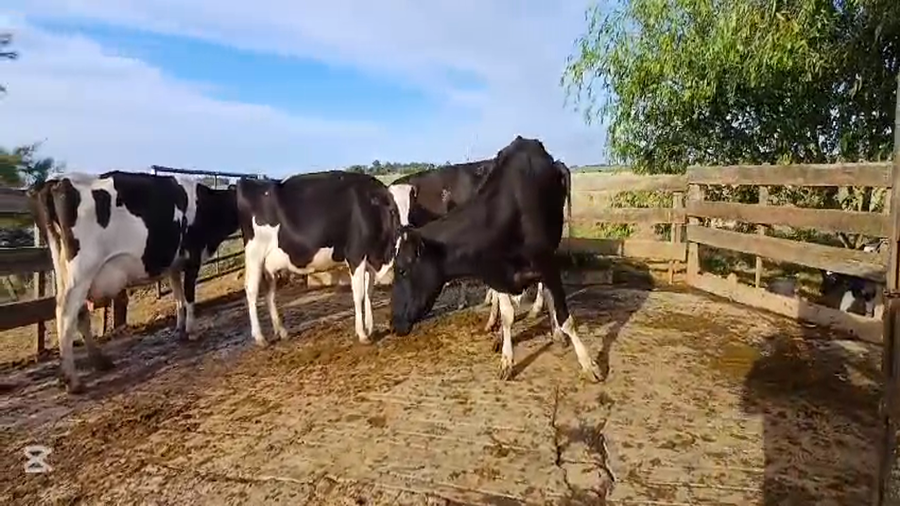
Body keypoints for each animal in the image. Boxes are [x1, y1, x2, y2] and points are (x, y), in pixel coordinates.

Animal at [27, 171, 240, 393]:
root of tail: (55, 182)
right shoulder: (193, 258)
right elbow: (189, 296)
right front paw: (192, 331)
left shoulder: (174, 264)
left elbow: (178, 296)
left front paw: (180, 329)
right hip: (82, 270)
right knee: (66, 313)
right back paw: (73, 379)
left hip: (63, 269)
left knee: (79, 312)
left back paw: (98, 362)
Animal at [236, 171, 399, 346]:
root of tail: (248, 183)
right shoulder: (356, 255)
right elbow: (359, 294)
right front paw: (362, 334)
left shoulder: (370, 259)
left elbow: (369, 292)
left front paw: (370, 328)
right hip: (255, 254)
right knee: (251, 290)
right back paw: (260, 337)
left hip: (270, 265)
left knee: (270, 293)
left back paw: (282, 331)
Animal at [390, 136, 602, 382]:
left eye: (402, 270)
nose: (392, 324)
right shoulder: (495, 272)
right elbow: (507, 315)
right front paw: (506, 360)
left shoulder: (547, 263)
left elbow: (566, 317)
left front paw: (588, 364)